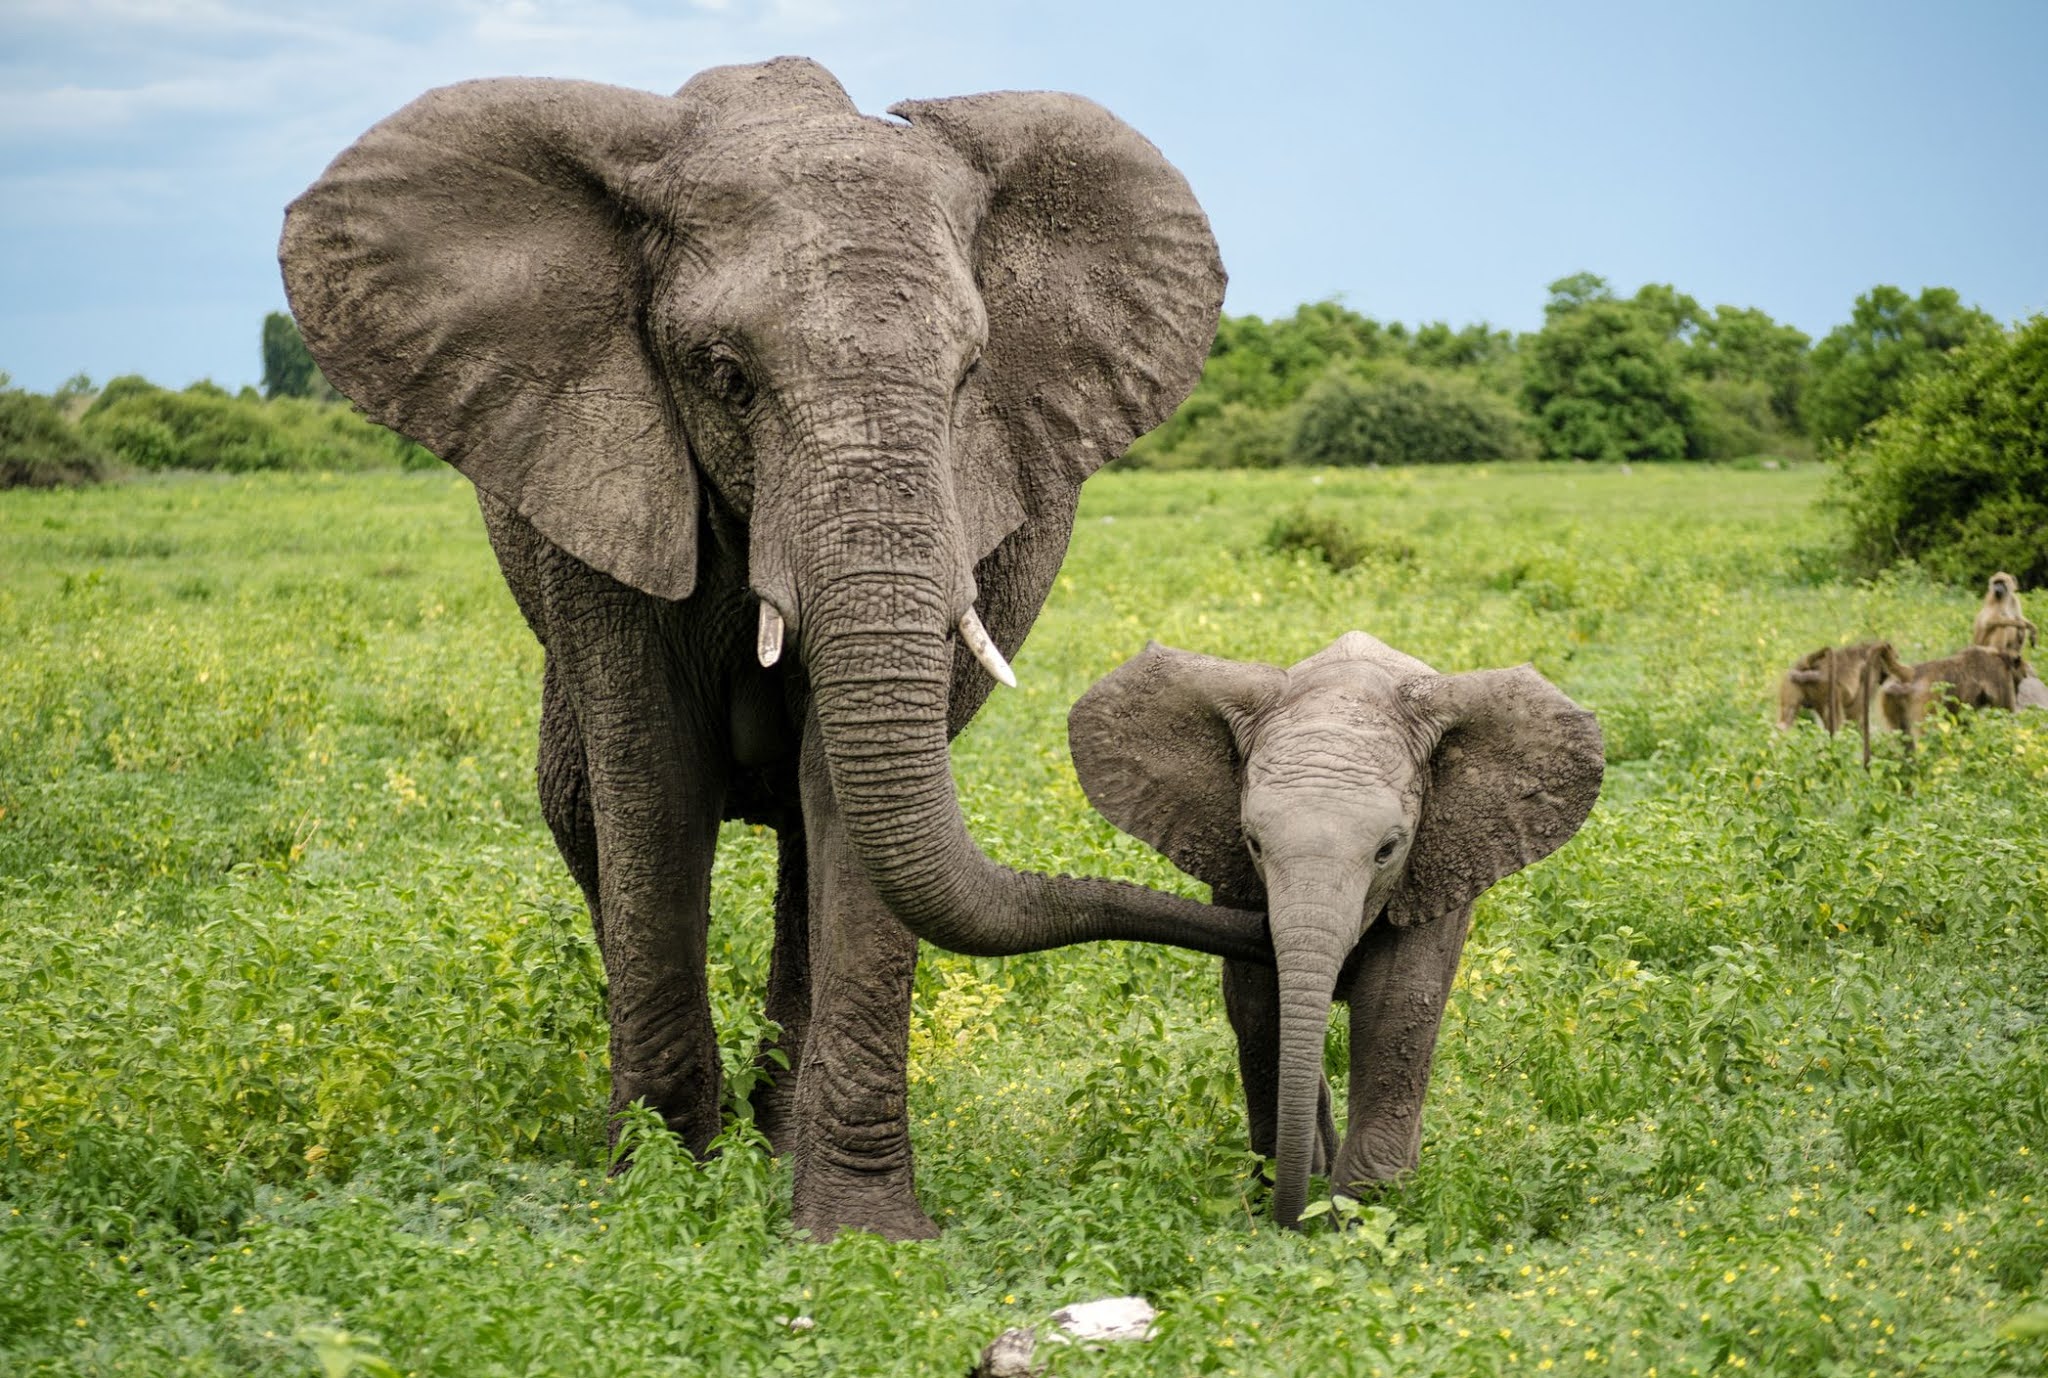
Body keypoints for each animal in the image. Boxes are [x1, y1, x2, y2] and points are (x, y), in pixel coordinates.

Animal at [278, 57, 1274, 1242]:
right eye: (724, 375)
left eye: (969, 374)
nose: (1266, 912)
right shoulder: (602, 489)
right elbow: (651, 785)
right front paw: (660, 1203)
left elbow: (845, 802)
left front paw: (859, 1235)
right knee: (580, 810)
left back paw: (778, 1142)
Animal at [1068, 632, 1603, 1228]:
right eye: (1254, 843)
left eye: (1387, 850)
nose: (1289, 1222)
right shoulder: (1233, 871)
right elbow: (1259, 1003)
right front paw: (1292, 1191)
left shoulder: (1440, 865)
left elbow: (1397, 1004)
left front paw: (1363, 1212)